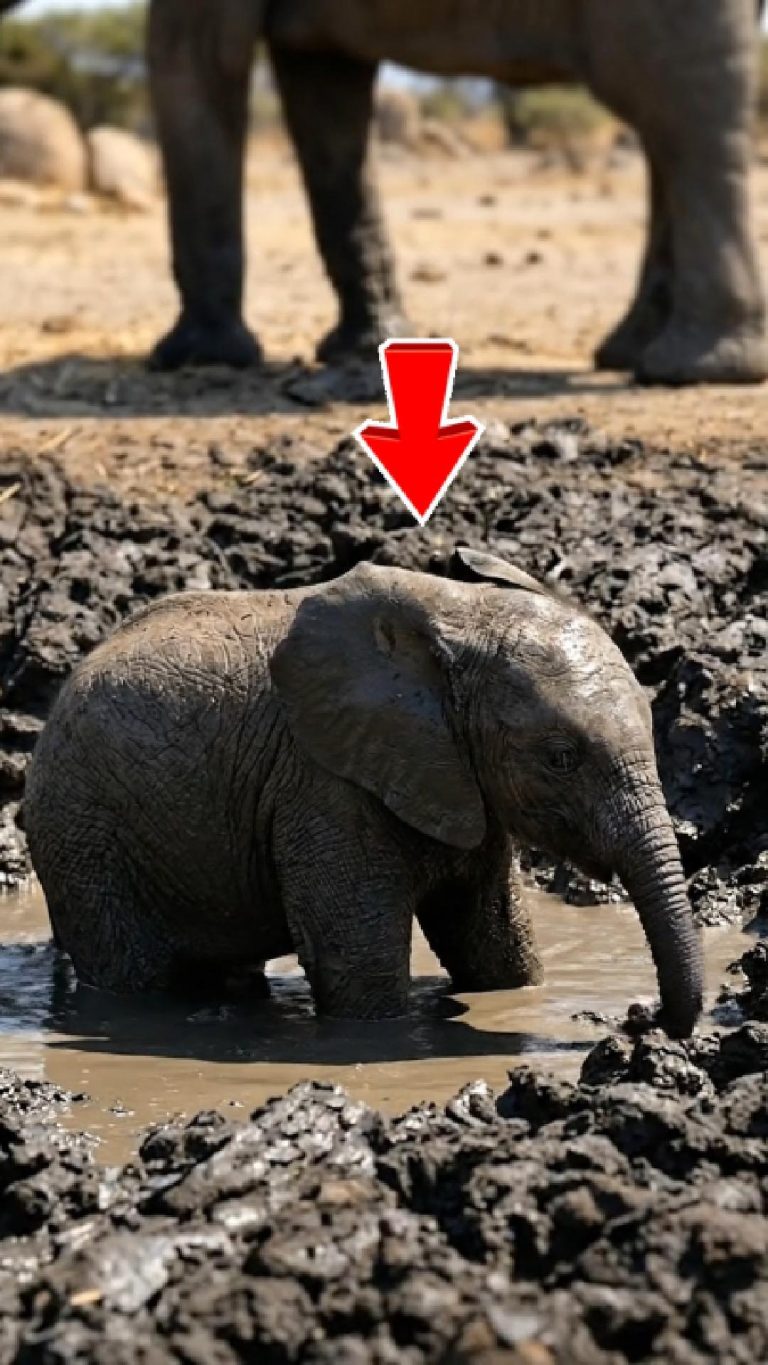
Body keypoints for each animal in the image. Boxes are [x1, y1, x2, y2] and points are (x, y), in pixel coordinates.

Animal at [25, 549, 704, 1039]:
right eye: (561, 758)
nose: (640, 1019)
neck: (462, 617)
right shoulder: (322, 786)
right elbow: (362, 970)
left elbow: (495, 946)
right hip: (84, 836)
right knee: (130, 972)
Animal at [142, 0, 768, 384]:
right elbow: (326, 89)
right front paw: (365, 349)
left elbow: (197, 53)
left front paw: (193, 358)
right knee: (665, 122)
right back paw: (632, 355)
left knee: (679, 108)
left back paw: (690, 370)